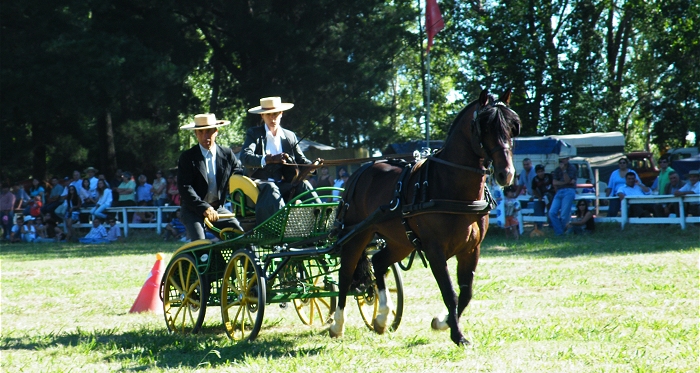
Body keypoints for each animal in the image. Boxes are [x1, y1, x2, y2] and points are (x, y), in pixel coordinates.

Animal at [328, 88, 520, 344]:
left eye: (512, 127)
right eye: (485, 127)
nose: (505, 173)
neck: (449, 187)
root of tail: (361, 171)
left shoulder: (471, 249)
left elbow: (466, 293)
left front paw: (442, 322)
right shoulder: (435, 250)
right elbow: (450, 293)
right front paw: (457, 335)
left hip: (400, 241)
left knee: (378, 263)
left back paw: (382, 317)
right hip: (356, 235)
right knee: (346, 274)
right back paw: (337, 325)